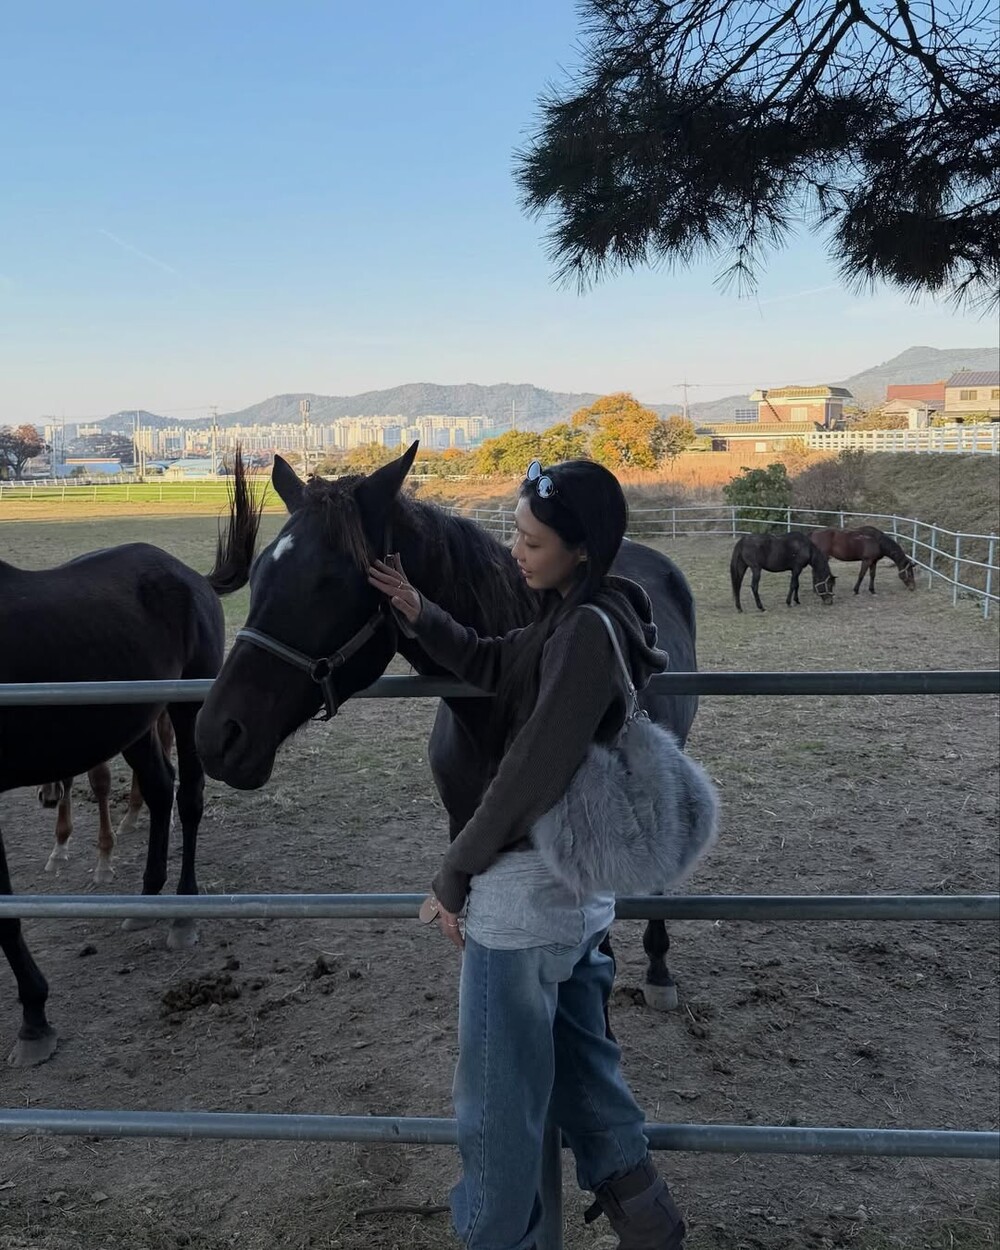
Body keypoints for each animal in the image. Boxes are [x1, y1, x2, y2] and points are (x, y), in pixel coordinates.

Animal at [37, 711, 175, 883]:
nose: (49, 798)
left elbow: (100, 782)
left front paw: (104, 860)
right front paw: (60, 847)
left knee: (166, 734)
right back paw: (131, 817)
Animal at [195, 443, 700, 1013]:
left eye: (331, 581)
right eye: (257, 573)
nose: (216, 735)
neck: (488, 722)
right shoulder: (464, 829)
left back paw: (658, 967)